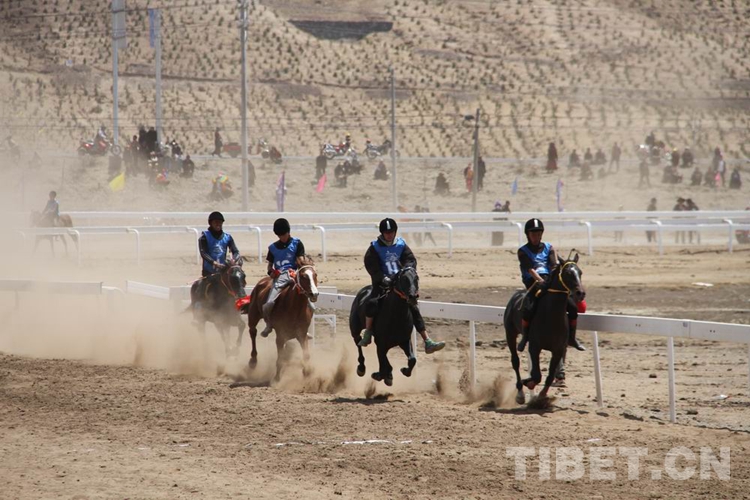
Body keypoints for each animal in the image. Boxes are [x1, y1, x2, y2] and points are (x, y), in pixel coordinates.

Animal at [504, 253, 586, 405]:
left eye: (580, 272)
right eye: (567, 273)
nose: (580, 293)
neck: (551, 317)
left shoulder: (558, 349)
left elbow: (550, 375)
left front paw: (542, 395)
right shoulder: (535, 347)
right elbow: (536, 375)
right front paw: (528, 383)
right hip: (510, 333)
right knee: (515, 361)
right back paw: (520, 393)